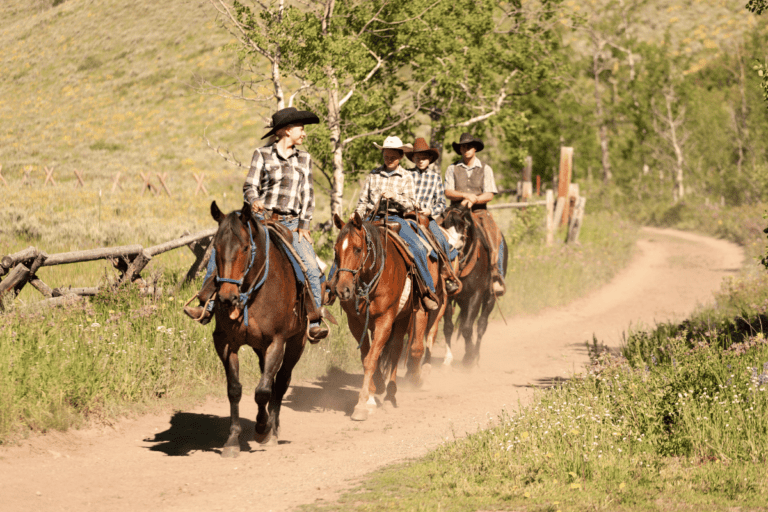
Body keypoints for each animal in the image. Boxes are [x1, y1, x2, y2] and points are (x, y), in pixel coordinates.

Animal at [210, 200, 308, 456]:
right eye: (215, 247)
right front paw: (232, 440)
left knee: (280, 382)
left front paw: (263, 429)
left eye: (245, 248)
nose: (226, 298)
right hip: (259, 347)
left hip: (297, 342)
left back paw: (272, 431)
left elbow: (263, 390)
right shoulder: (225, 342)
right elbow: (235, 389)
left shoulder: (277, 341)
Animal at [330, 212, 444, 420]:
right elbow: (367, 357)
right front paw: (372, 393)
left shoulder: (385, 320)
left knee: (400, 350)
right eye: (336, 251)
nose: (343, 290)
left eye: (357, 249)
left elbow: (372, 359)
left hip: (407, 316)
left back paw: (392, 393)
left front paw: (362, 404)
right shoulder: (356, 323)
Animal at [438, 207, 510, 368]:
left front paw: (470, 358)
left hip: (490, 297)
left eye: (462, 228)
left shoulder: (475, 295)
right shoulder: (449, 296)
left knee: (481, 325)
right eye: (443, 226)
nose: (448, 248)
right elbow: (449, 327)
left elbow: (467, 328)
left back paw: (475, 355)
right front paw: (448, 358)